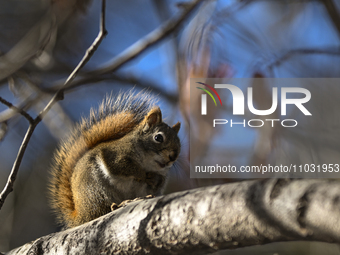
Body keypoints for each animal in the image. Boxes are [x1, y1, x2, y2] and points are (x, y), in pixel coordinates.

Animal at [48, 90, 181, 229]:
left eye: (179, 143)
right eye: (158, 138)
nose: (173, 157)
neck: (149, 163)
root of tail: (80, 217)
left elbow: (158, 182)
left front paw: (154, 178)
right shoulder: (116, 155)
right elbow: (122, 167)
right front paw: (143, 174)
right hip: (95, 190)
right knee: (100, 210)